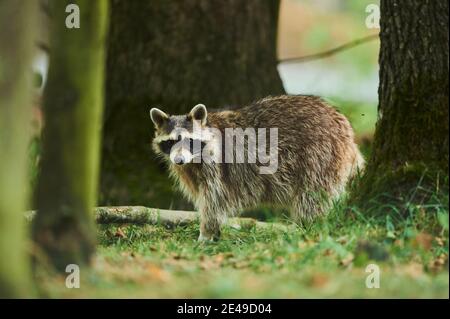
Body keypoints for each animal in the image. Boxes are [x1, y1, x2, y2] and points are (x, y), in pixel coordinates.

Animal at [149, 96, 364, 241]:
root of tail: (345, 129)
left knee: (312, 197)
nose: (178, 160)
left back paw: (309, 227)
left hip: (320, 155)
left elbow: (215, 200)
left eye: (190, 141)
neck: (194, 159)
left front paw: (206, 232)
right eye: (170, 142)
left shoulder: (219, 167)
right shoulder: (191, 171)